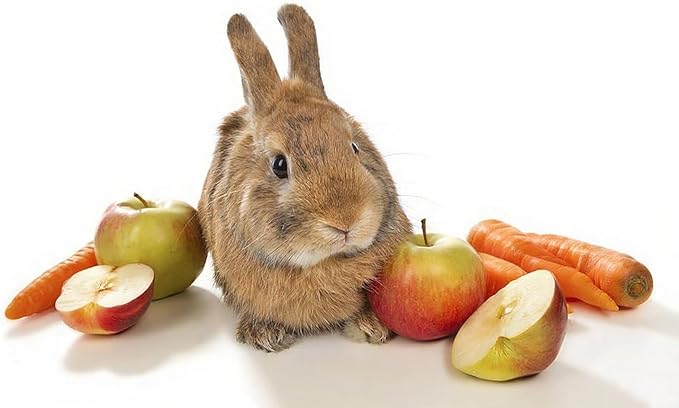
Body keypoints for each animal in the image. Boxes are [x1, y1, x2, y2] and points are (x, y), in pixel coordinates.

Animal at [198, 4, 412, 352]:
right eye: (279, 165)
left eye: (355, 146)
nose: (345, 221)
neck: (321, 263)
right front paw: (263, 335)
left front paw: (372, 327)